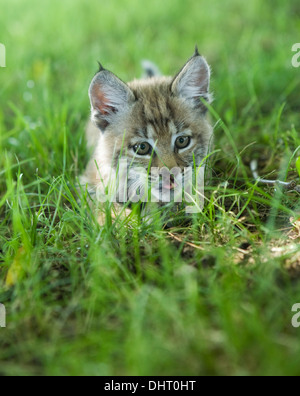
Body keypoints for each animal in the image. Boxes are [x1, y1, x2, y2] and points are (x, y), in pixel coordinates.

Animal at [81, 48, 213, 223]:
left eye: (182, 141)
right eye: (141, 148)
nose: (171, 177)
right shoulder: (88, 182)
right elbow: (103, 209)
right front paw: (129, 221)